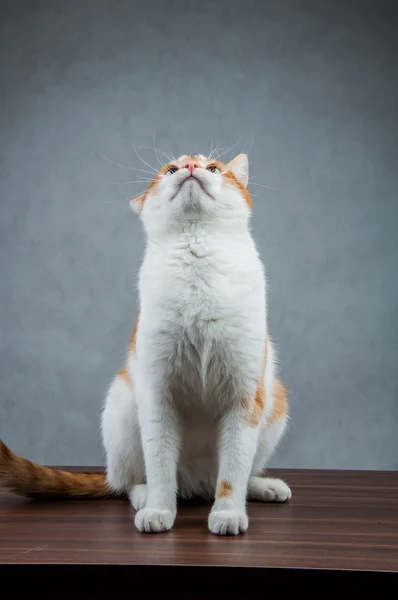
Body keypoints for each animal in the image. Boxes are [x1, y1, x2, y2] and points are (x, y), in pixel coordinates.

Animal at [0, 152, 292, 536]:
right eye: (171, 170)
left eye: (214, 168)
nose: (191, 169)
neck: (198, 262)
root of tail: (197, 485)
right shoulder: (156, 395)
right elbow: (160, 465)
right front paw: (158, 510)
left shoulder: (244, 397)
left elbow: (232, 472)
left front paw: (228, 514)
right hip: (122, 404)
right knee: (126, 481)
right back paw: (143, 496)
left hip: (275, 402)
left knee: (235, 473)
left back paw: (262, 486)